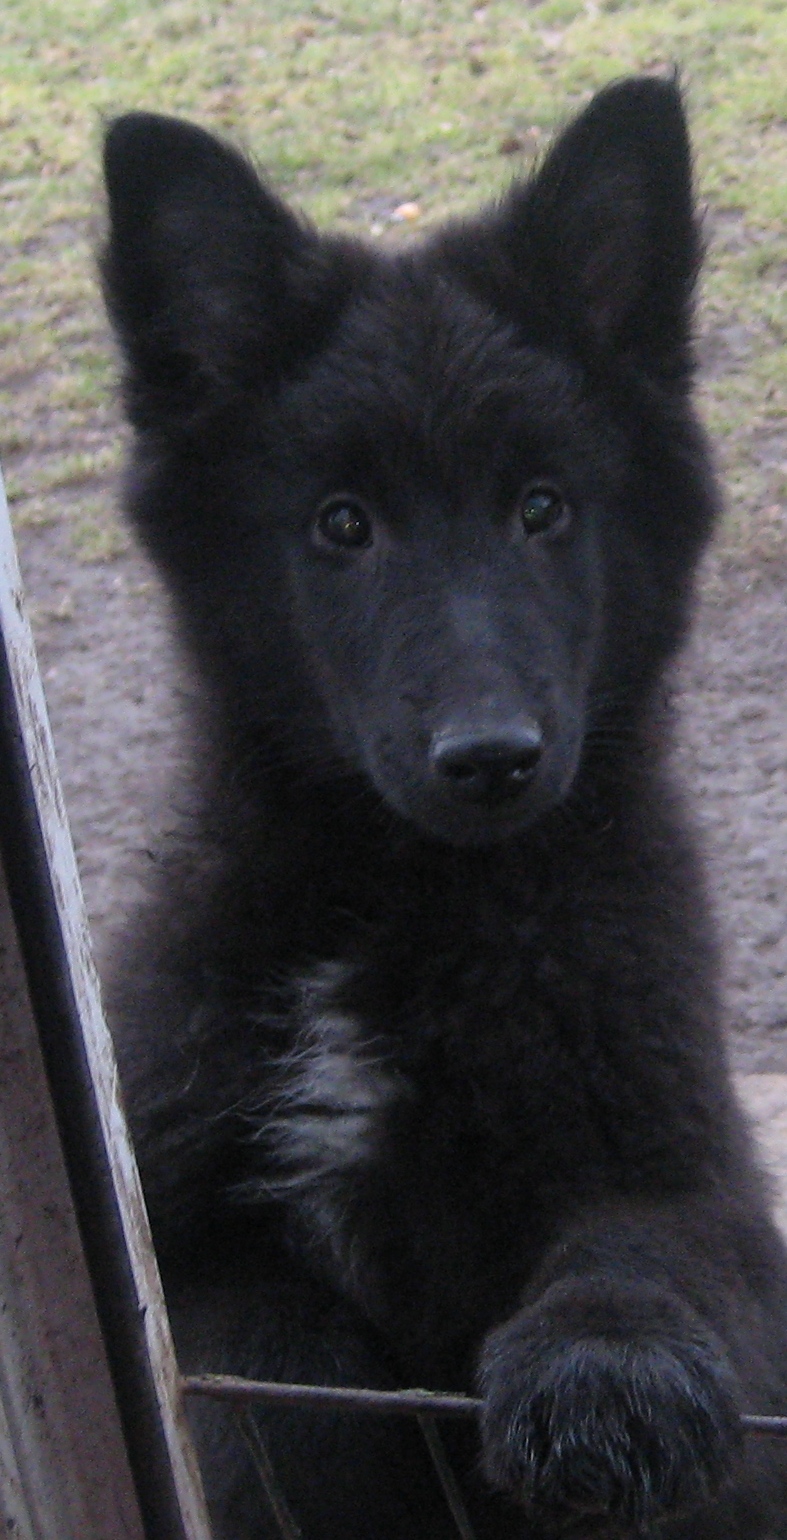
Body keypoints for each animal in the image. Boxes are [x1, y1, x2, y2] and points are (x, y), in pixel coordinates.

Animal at [101, 78, 787, 1533]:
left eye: (541, 508)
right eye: (341, 524)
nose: (489, 757)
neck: (406, 904)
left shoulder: (683, 1165)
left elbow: (646, 1251)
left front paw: (601, 1378)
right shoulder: (173, 1223)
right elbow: (269, 1349)